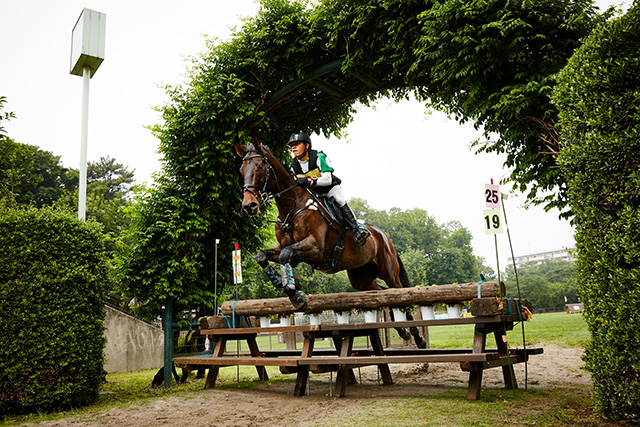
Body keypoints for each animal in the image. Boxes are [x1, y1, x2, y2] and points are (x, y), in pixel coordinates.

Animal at [235, 140, 424, 348]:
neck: (292, 207)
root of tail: (382, 234)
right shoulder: (286, 251)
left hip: (388, 271)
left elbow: (286, 254)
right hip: (361, 278)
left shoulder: (315, 248)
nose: (249, 206)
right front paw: (282, 281)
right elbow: (262, 255)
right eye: (241, 170)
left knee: (399, 293)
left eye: (260, 166)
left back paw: (417, 335)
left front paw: (295, 293)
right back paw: (402, 330)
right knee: (382, 294)